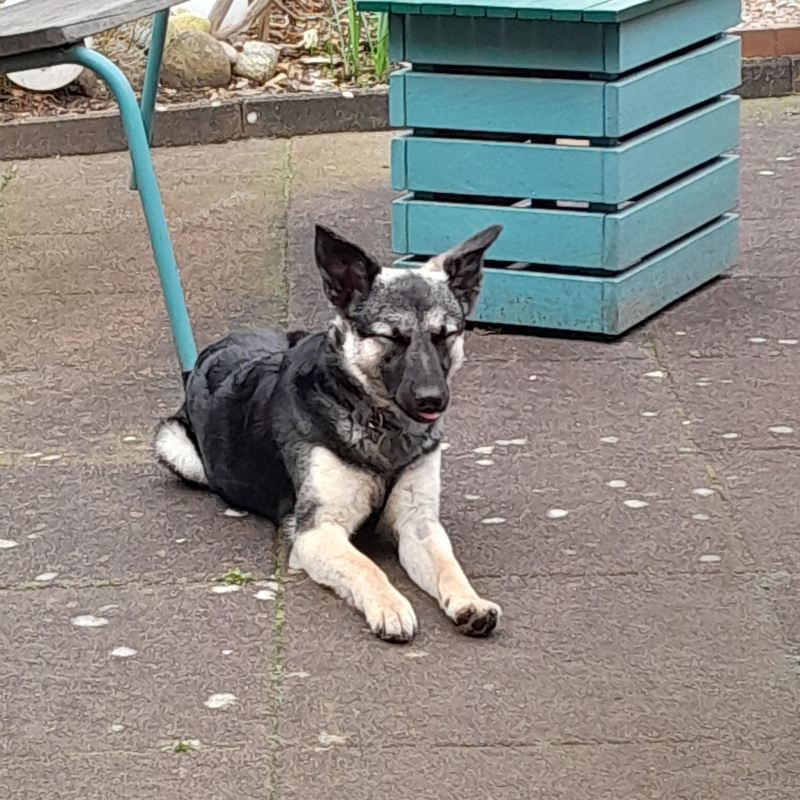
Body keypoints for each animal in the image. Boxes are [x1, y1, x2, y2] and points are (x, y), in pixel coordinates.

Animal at [155, 223, 503, 643]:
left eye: (443, 335)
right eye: (392, 337)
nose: (431, 399)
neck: (379, 424)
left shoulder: (419, 526)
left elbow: (448, 565)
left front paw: (470, 600)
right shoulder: (319, 531)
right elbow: (368, 567)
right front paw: (390, 605)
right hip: (174, 446)